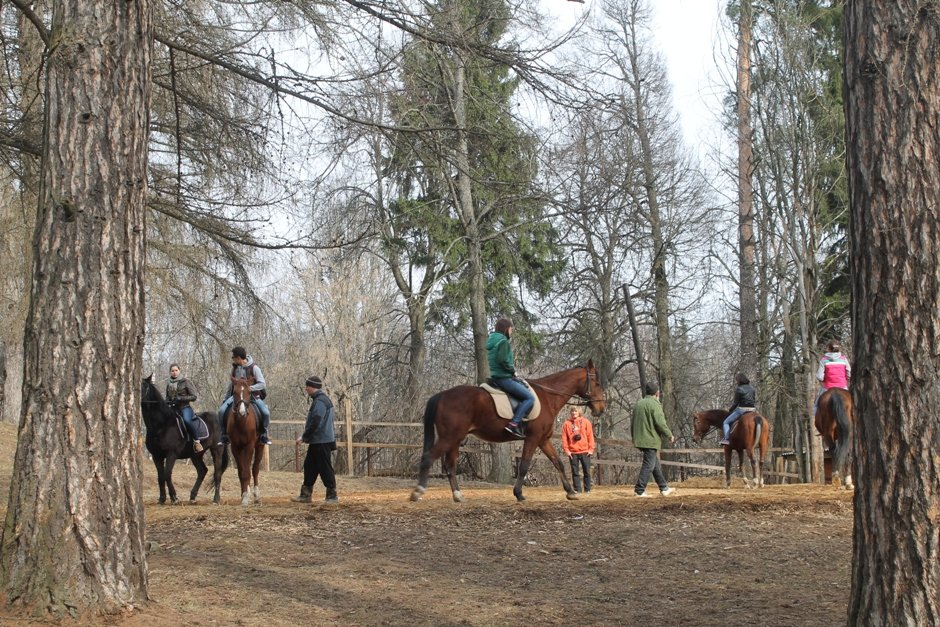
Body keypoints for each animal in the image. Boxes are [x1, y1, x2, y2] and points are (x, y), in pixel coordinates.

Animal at [140, 372, 230, 506]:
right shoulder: (156, 456)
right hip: (196, 454)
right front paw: (162, 499)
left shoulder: (171, 454)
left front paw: (174, 498)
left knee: (217, 473)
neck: (162, 425)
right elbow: (160, 476)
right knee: (202, 471)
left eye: (144, 386)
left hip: (216, 450)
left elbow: (167, 474)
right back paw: (192, 497)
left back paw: (216, 499)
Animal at [222, 378, 262, 506]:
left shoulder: (249, 446)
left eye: (249, 392)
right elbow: (241, 472)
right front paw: (244, 495)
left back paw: (256, 495)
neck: (241, 423)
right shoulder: (235, 447)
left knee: (255, 469)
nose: (242, 412)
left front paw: (246, 497)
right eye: (234, 392)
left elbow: (247, 472)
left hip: (259, 446)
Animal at [408, 360, 604, 502]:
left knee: (450, 465)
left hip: (455, 439)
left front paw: (570, 492)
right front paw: (518, 493)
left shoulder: (543, 440)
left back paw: (458, 495)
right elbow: (524, 465)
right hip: (449, 437)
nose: (601, 409)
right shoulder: (533, 438)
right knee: (428, 458)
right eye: (597, 382)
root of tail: (442, 395)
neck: (548, 396)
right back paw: (418, 492)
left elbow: (558, 463)